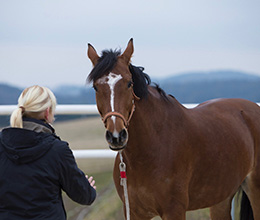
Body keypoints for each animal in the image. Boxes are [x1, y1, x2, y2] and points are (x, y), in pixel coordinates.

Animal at [87, 38, 260, 219]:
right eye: (96, 87)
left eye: (129, 83)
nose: (116, 136)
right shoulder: (134, 212)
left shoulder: (174, 210)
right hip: (221, 197)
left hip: (255, 190)